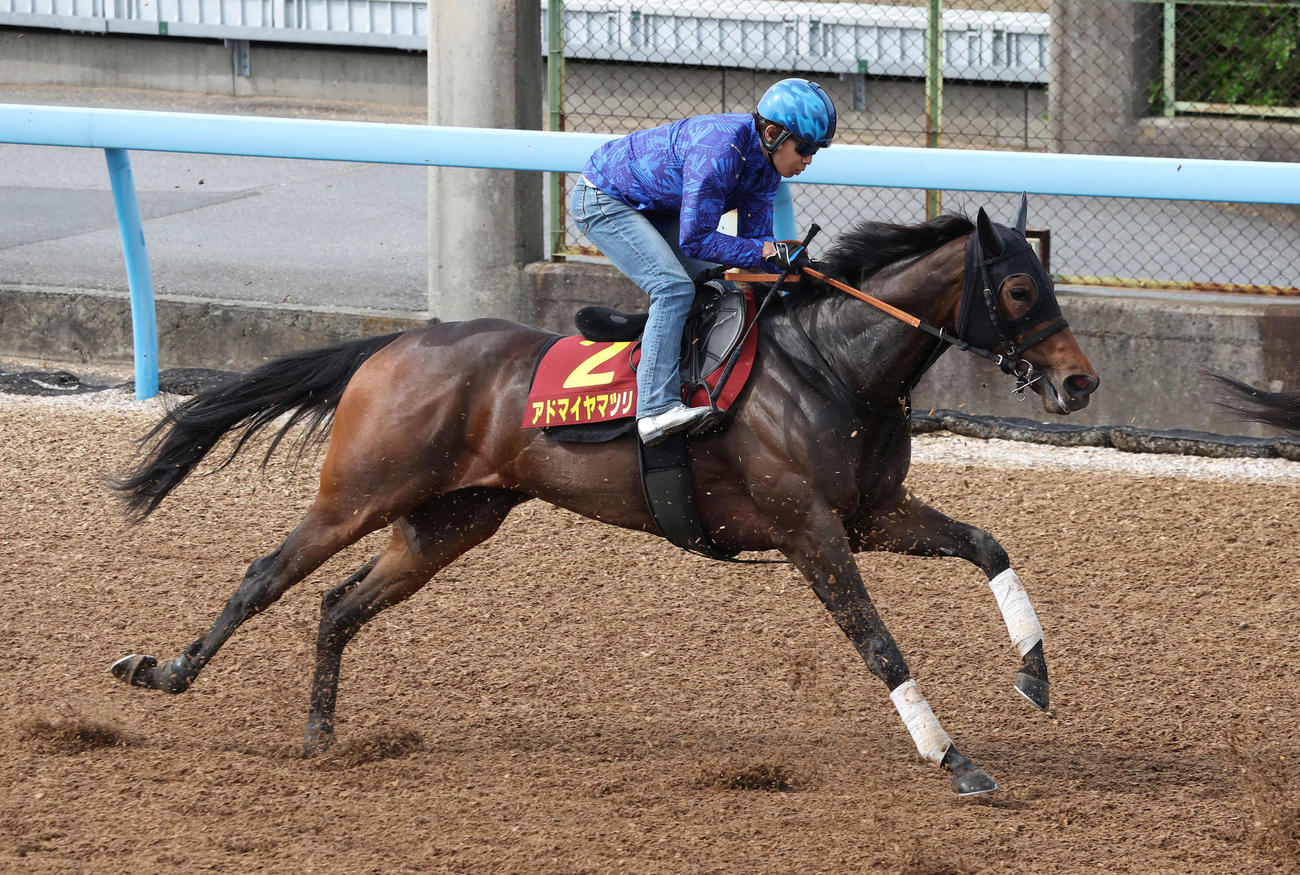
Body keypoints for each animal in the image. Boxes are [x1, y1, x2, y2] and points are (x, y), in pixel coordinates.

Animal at [108, 198, 1099, 797]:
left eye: (1049, 282)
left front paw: (1035, 675)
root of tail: (392, 344)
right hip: (360, 491)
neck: (833, 366)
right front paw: (953, 757)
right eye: (1019, 287)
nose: (1081, 382)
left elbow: (990, 545)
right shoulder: (811, 530)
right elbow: (878, 641)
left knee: (337, 602)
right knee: (264, 574)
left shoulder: (871, 515)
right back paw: (162, 672)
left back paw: (321, 732)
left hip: (448, 521)